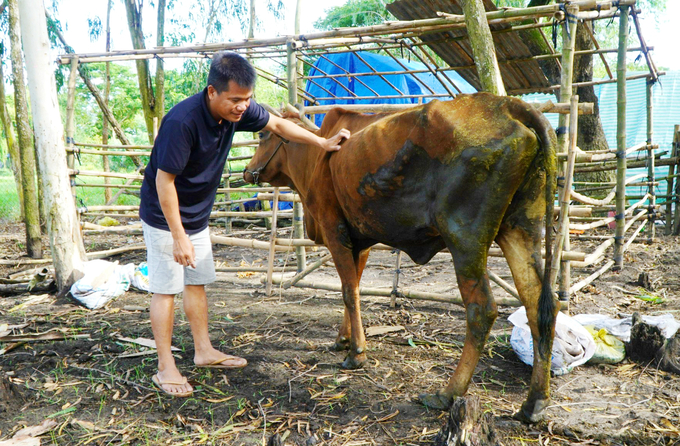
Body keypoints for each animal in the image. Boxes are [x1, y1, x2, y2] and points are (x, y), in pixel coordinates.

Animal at [244, 92, 556, 424]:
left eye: (262, 136)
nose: (247, 170)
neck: (315, 157)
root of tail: (509, 105)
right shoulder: (360, 241)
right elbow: (353, 288)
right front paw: (344, 339)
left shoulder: (334, 230)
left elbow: (348, 292)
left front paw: (356, 354)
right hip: (519, 228)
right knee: (538, 305)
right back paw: (534, 402)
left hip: (465, 238)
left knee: (482, 309)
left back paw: (448, 393)